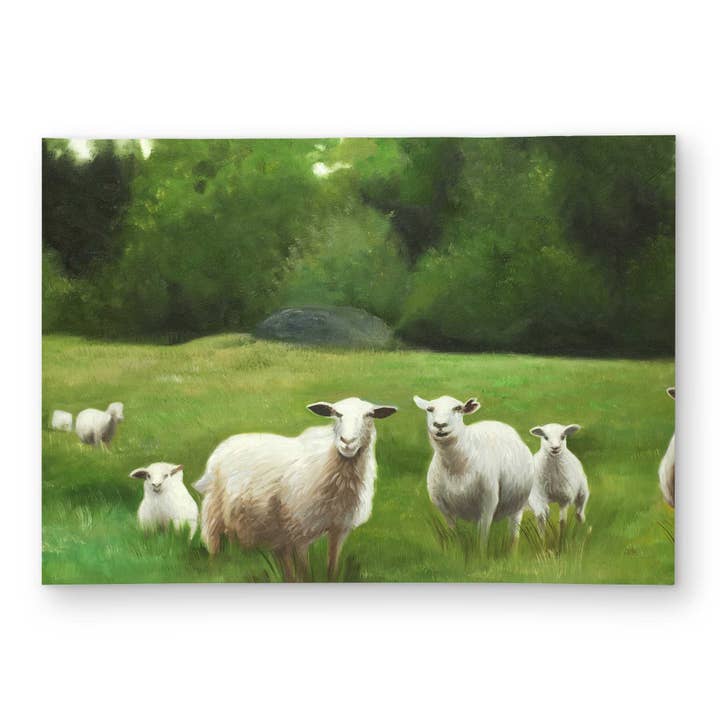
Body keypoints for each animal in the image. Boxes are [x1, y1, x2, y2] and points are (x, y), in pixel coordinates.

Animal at [194, 397, 397, 580]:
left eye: (369, 415)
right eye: (335, 414)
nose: (347, 441)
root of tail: (224, 444)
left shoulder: (339, 528)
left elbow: (332, 567)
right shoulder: (300, 529)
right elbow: (304, 572)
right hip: (215, 512)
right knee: (214, 547)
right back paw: (216, 571)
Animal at [413, 394, 534, 553]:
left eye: (458, 408)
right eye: (429, 409)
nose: (439, 425)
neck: (455, 466)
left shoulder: (488, 502)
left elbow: (482, 537)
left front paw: (480, 554)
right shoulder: (444, 507)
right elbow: (453, 533)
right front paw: (454, 551)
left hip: (518, 503)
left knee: (514, 532)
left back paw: (512, 553)